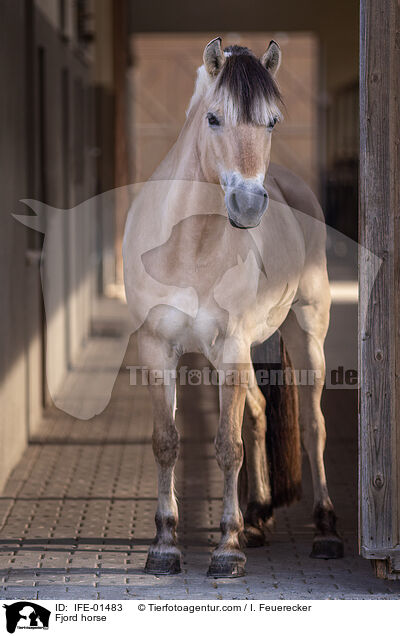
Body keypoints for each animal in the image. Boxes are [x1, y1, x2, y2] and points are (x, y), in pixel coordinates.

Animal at [122, 37, 344, 580]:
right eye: (214, 118)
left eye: (272, 122)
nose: (247, 205)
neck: (189, 246)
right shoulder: (159, 349)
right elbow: (168, 440)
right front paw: (164, 545)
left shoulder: (229, 348)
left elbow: (227, 445)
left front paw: (226, 547)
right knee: (261, 415)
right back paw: (259, 518)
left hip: (306, 331)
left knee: (313, 426)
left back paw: (325, 530)